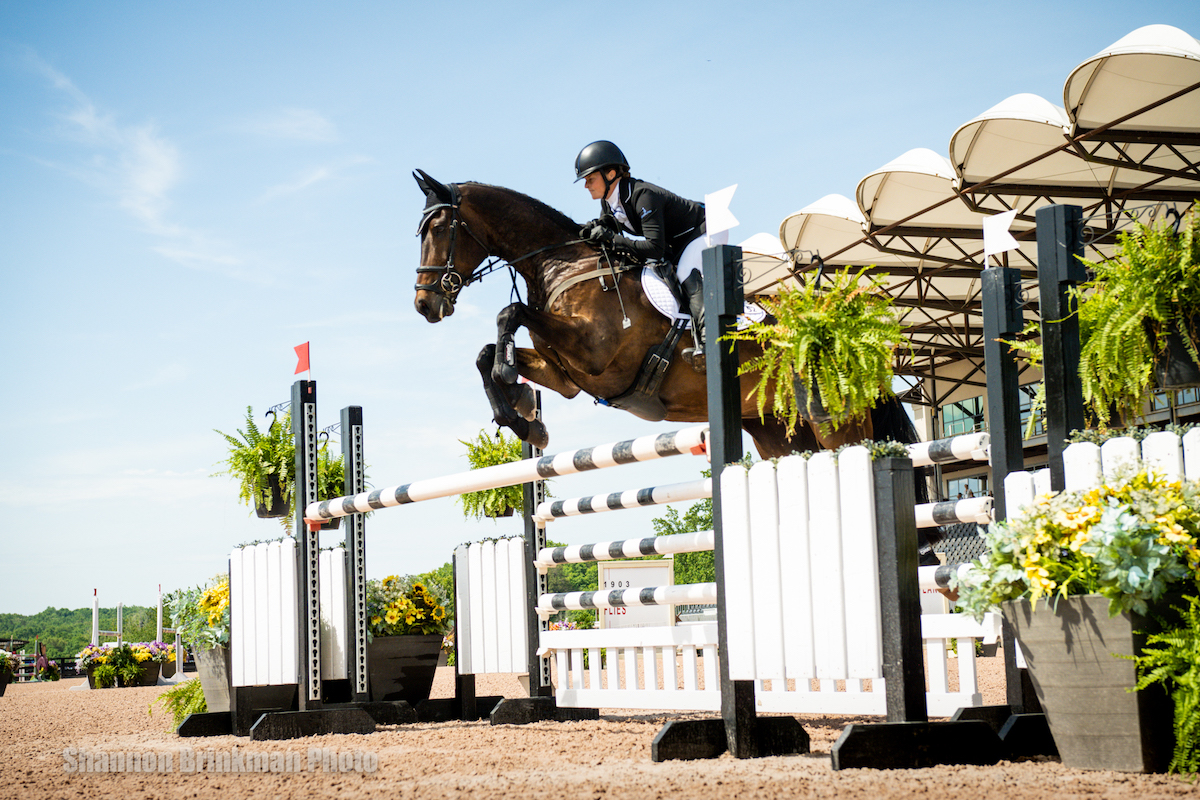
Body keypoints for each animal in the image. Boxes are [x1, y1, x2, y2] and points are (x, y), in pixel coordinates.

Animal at [408, 169, 921, 470]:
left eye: (438, 228)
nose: (424, 304)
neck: (561, 262)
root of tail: (842, 345)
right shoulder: (568, 375)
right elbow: (486, 351)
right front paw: (523, 420)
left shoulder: (596, 358)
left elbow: (508, 313)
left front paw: (512, 385)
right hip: (777, 433)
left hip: (832, 423)